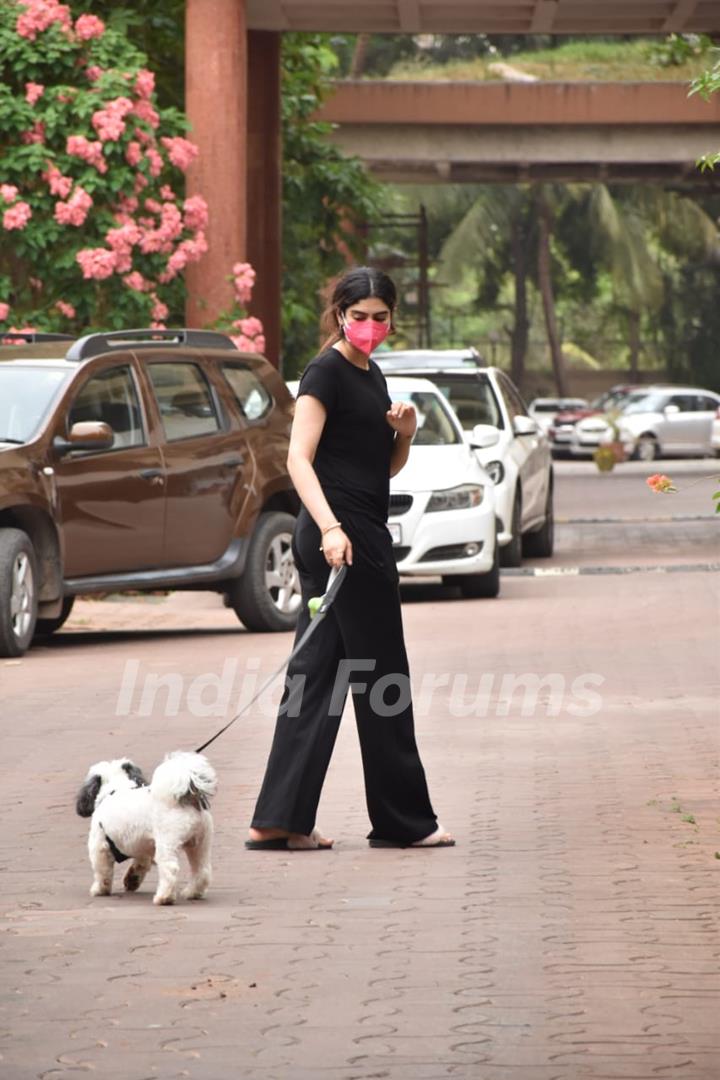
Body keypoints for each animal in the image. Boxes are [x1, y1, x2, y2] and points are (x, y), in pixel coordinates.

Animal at [76, 756, 218, 907]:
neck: (116, 789)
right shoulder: (142, 846)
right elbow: (141, 864)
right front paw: (132, 879)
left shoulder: (99, 846)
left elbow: (102, 871)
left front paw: (100, 889)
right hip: (200, 843)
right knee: (202, 870)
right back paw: (192, 893)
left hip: (167, 844)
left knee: (170, 869)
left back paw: (164, 897)